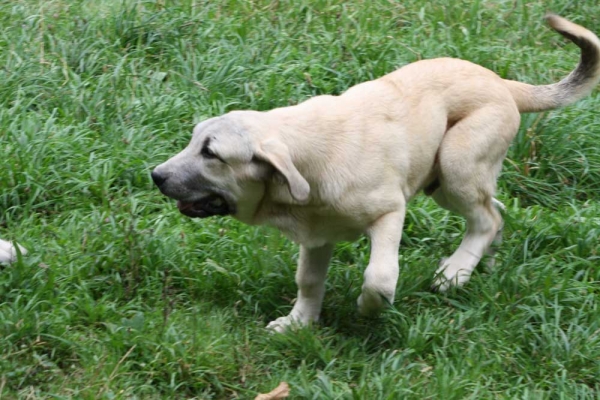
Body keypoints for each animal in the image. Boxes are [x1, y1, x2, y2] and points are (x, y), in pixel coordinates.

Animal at [151, 15, 600, 332]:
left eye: (211, 153)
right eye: (193, 140)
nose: (155, 175)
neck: (307, 161)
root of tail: (503, 83)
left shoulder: (389, 213)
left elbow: (379, 278)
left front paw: (368, 310)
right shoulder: (317, 237)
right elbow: (308, 281)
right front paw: (299, 323)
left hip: (457, 164)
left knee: (486, 217)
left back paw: (453, 274)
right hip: (448, 180)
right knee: (495, 211)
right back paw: (477, 266)